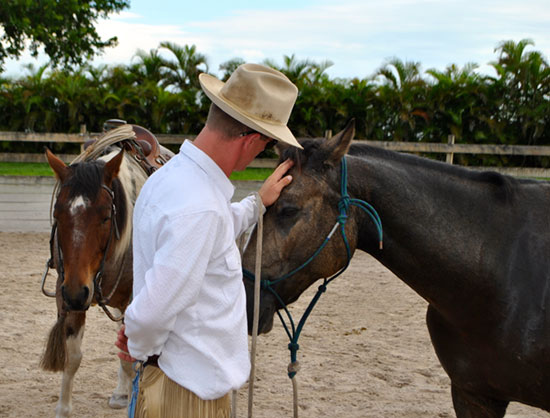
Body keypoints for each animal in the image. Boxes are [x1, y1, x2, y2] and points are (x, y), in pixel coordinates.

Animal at [42, 146, 149, 414]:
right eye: (58, 214)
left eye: (105, 217)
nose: (77, 293)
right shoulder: (67, 293)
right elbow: (72, 357)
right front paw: (63, 410)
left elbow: (129, 355)